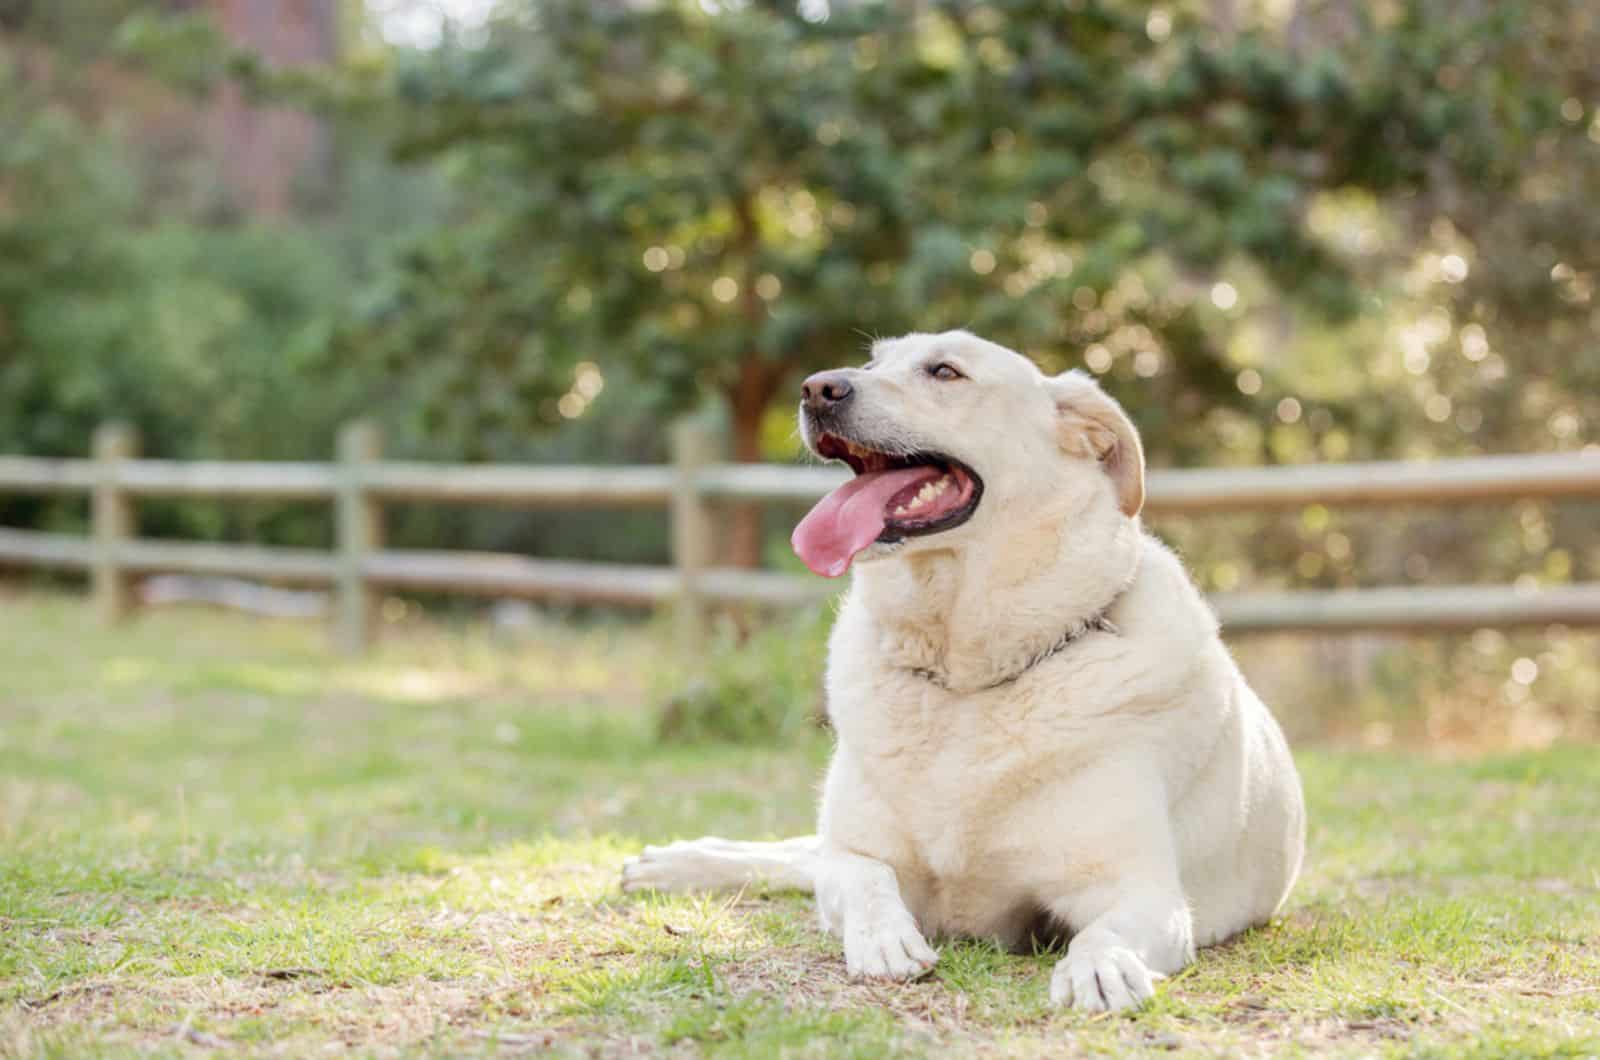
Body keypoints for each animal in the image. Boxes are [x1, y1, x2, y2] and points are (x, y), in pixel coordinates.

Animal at [617, 329, 1305, 1011]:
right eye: (872, 362)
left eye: (945, 372)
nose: (817, 388)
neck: (963, 677)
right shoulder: (862, 853)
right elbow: (862, 875)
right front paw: (884, 939)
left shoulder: (1141, 890)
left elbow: (1105, 932)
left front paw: (1101, 968)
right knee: (802, 853)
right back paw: (676, 862)